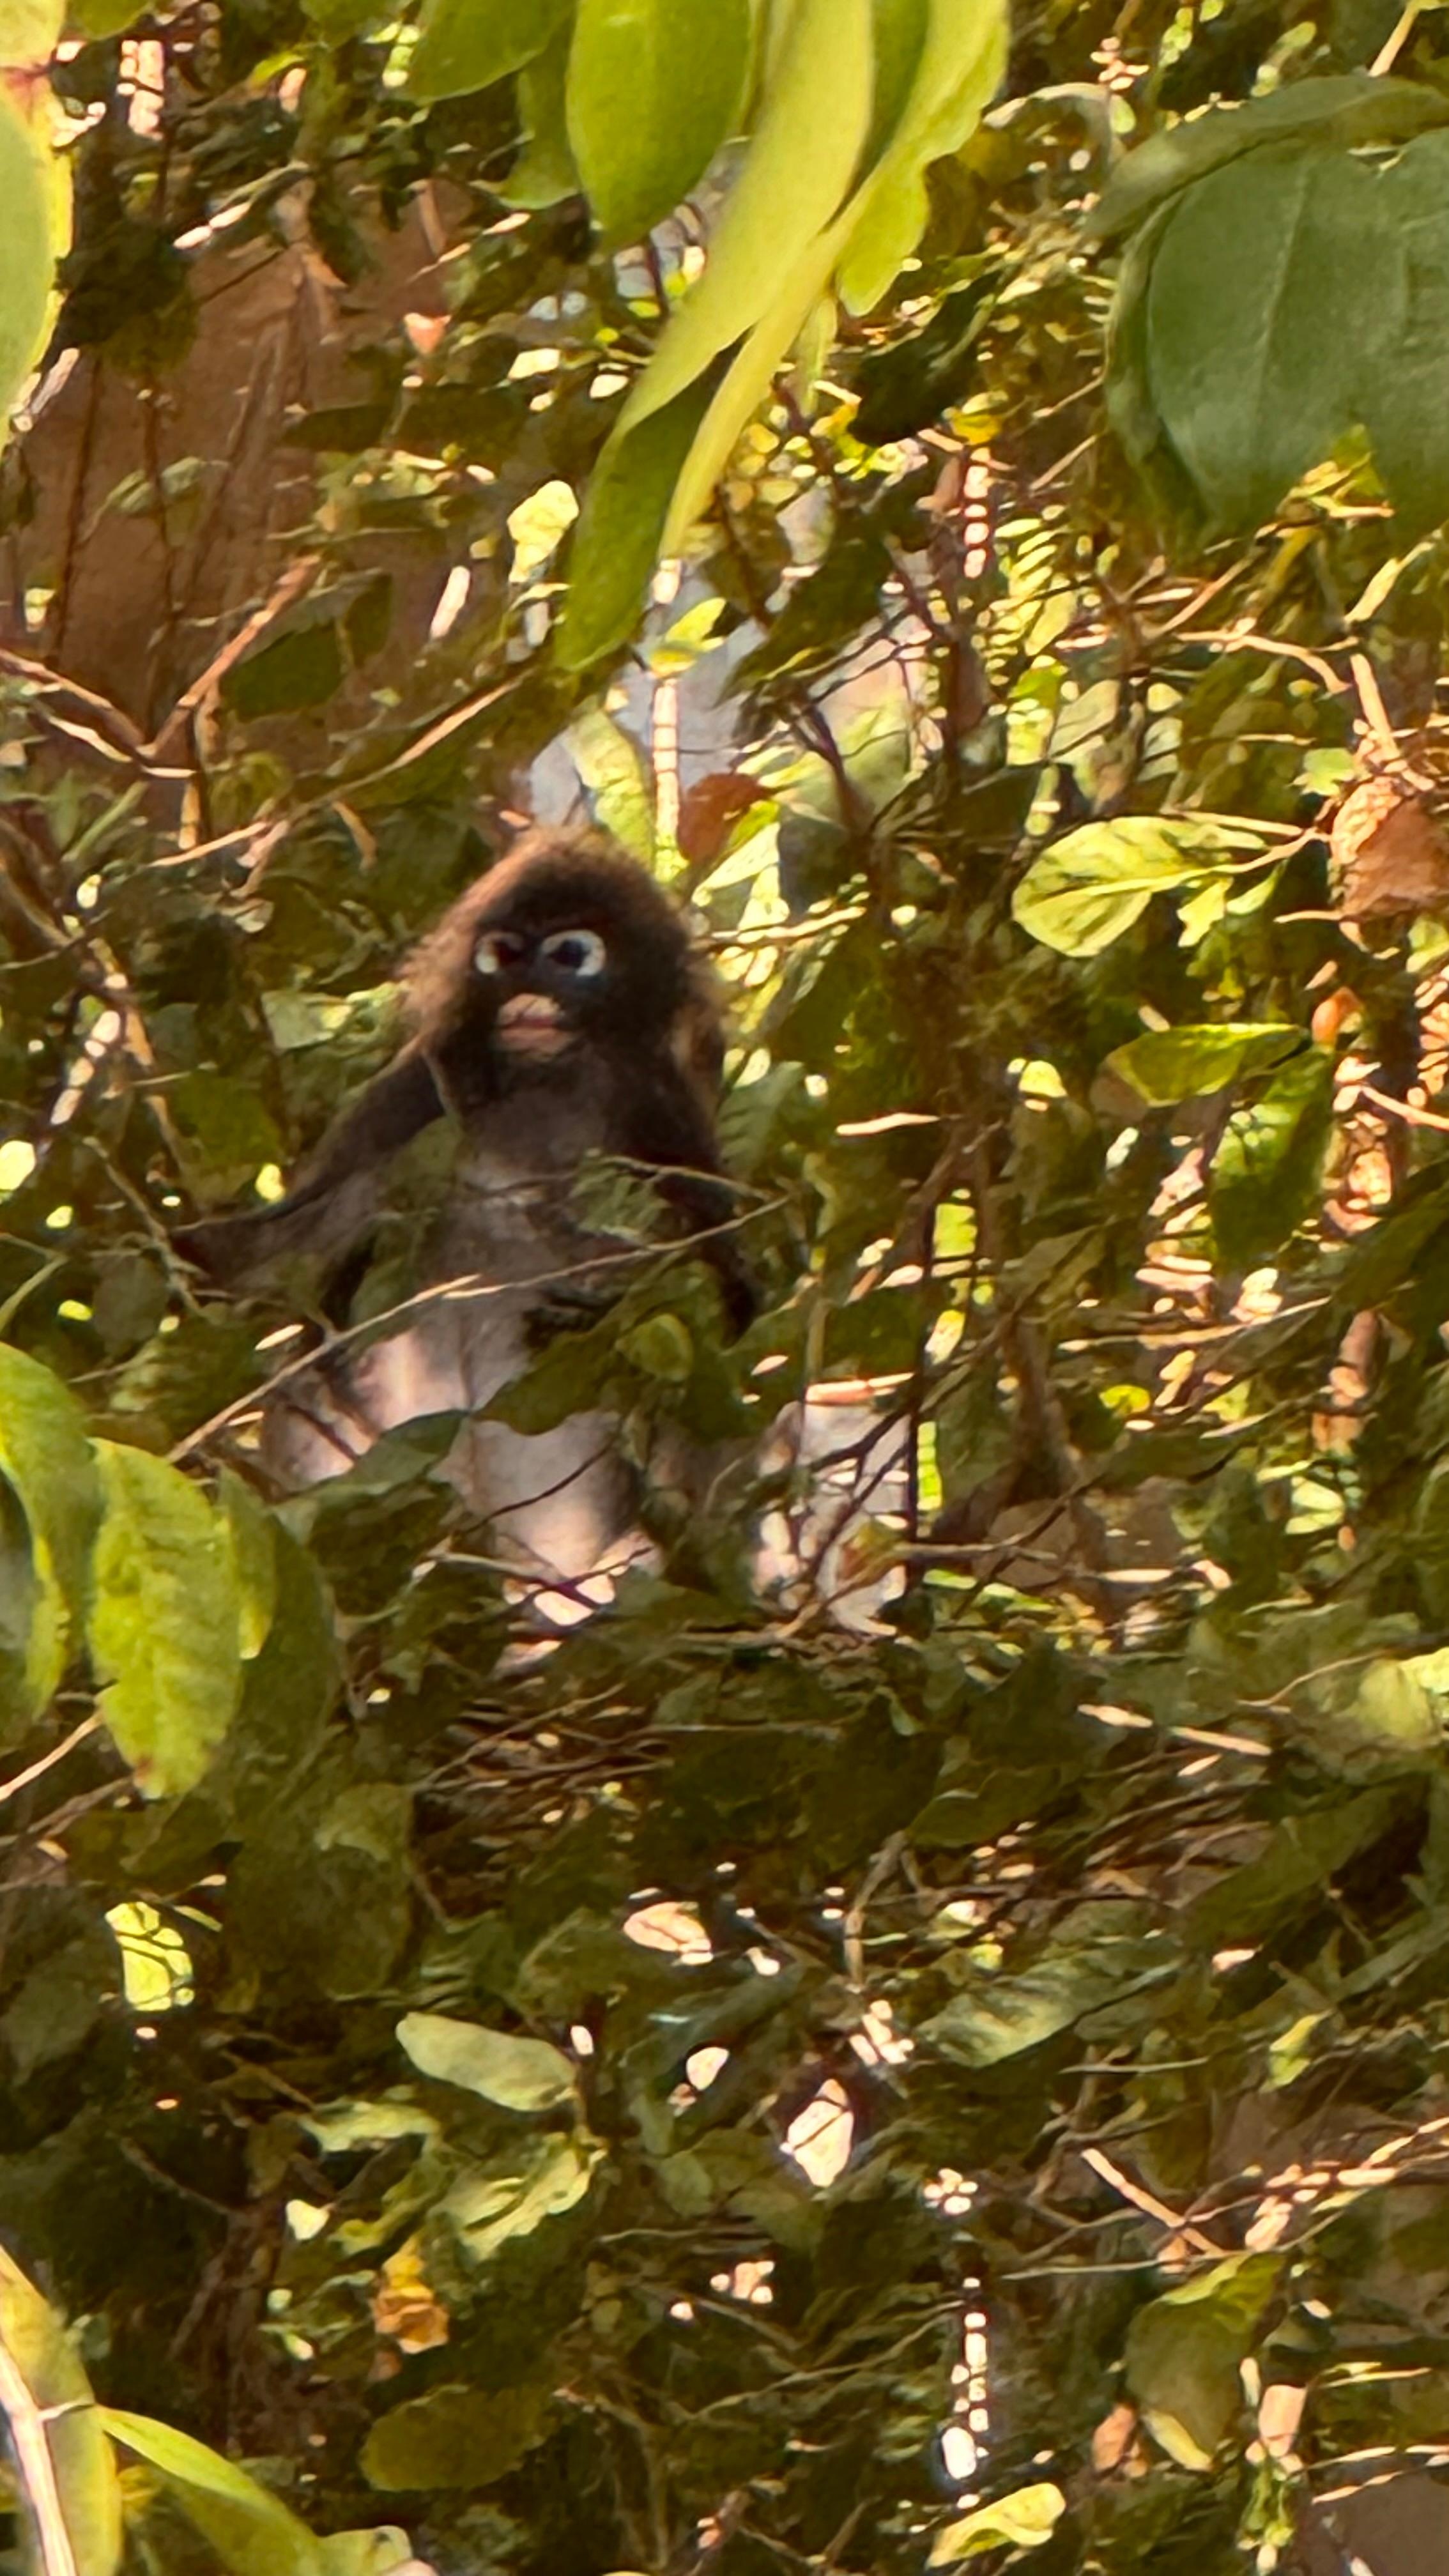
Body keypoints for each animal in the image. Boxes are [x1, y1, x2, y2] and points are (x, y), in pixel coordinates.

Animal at [179, 829, 756, 1598]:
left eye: (570, 955)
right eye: (504, 956)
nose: (527, 991)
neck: (542, 1091)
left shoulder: (661, 1107)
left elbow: (732, 1305)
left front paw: (599, 1310)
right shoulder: (417, 1085)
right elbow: (268, 1258)